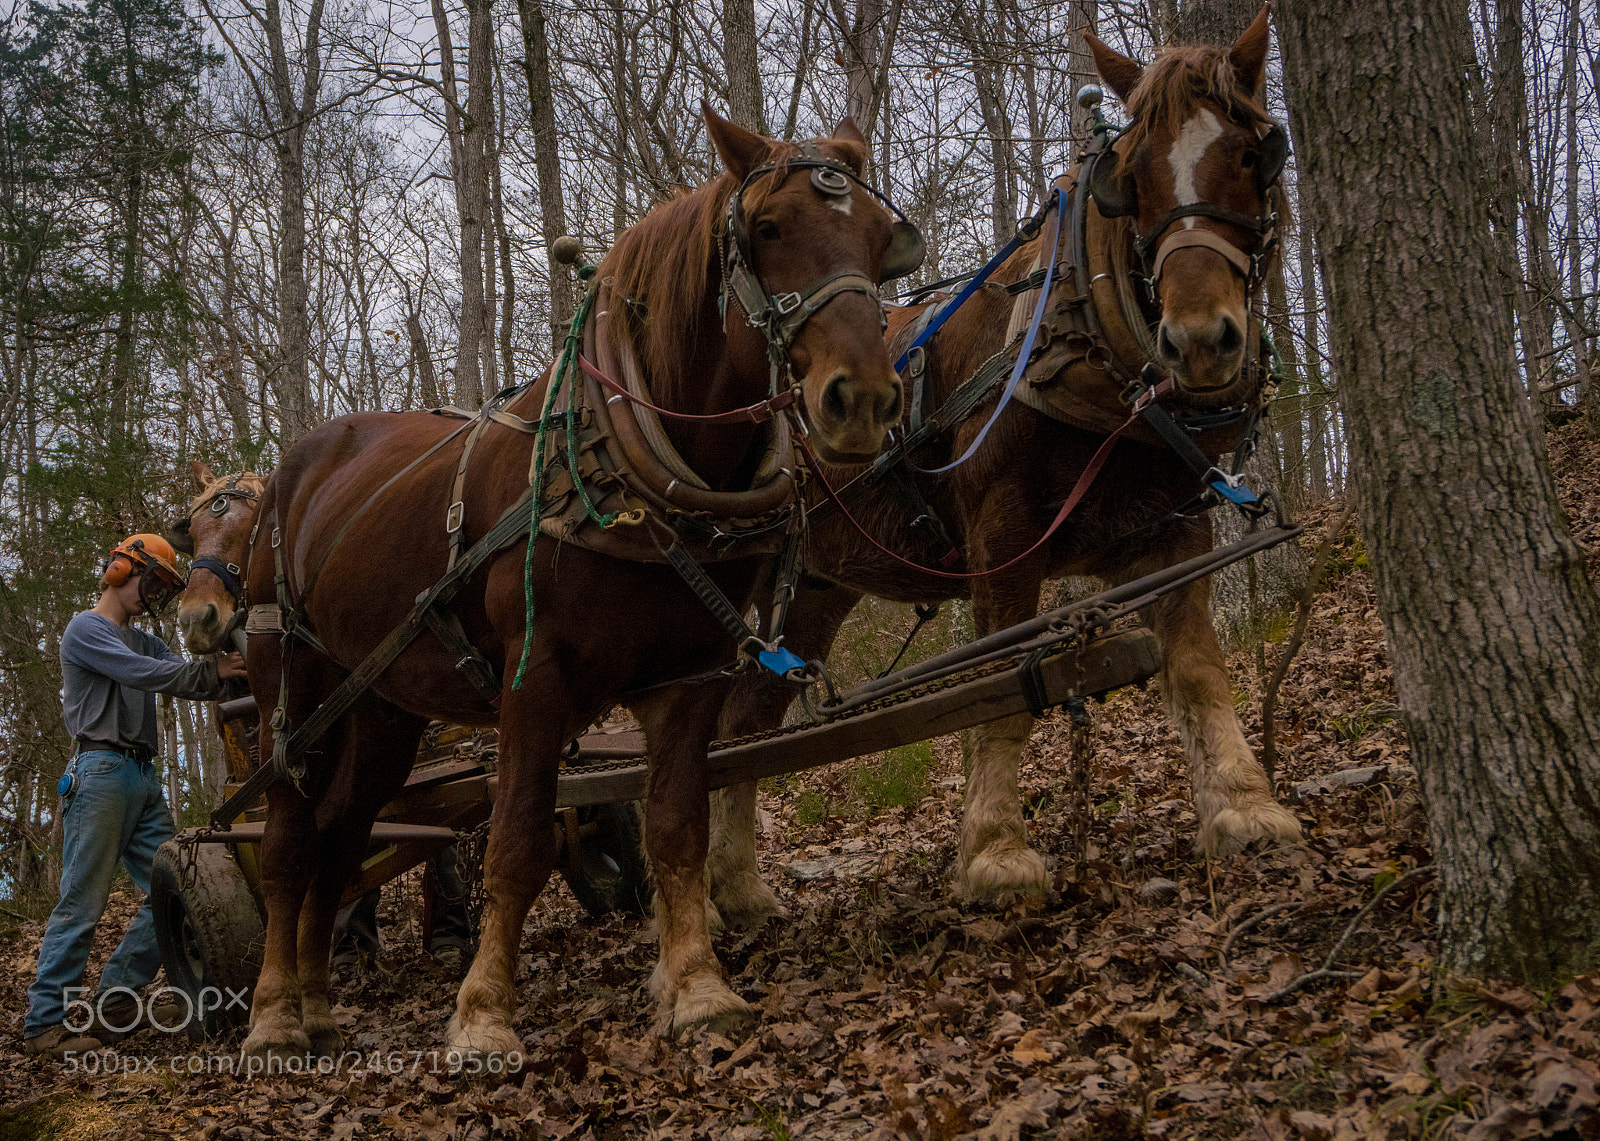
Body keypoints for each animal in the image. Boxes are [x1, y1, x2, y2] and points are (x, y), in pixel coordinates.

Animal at [196, 108, 909, 1064]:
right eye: (767, 229)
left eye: (879, 240)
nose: (861, 400)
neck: (631, 469)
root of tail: (288, 471)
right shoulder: (533, 682)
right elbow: (519, 841)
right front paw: (482, 1013)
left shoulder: (689, 678)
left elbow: (675, 826)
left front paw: (699, 989)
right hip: (290, 683)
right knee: (286, 844)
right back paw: (274, 1012)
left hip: (382, 703)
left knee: (343, 835)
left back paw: (316, 1002)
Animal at [706, 9, 1302, 929]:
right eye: (1131, 176)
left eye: (1252, 152)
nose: (1202, 340)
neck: (1087, 350)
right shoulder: (1002, 536)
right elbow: (998, 692)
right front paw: (996, 853)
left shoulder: (1172, 531)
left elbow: (1199, 669)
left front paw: (1244, 805)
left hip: (811, 595)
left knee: (742, 731)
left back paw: (735, 886)